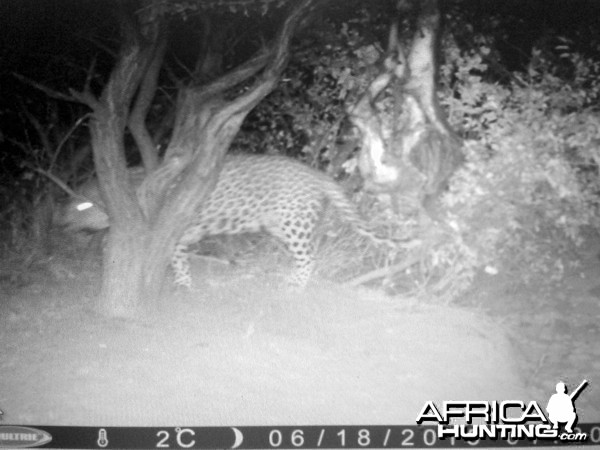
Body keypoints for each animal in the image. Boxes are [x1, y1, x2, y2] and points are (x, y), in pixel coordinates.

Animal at [57, 154, 394, 288]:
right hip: (278, 225)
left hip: (294, 224)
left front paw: (183, 284)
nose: (59, 223)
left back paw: (294, 286)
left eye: (80, 206)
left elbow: (177, 260)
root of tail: (314, 172)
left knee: (310, 256)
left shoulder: (176, 231)